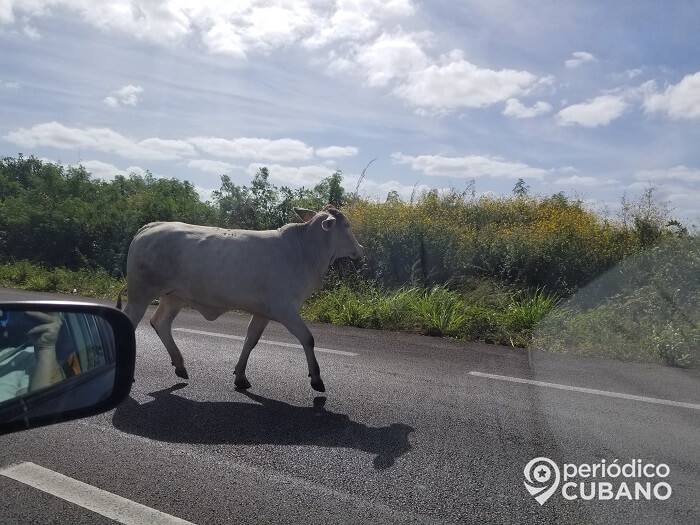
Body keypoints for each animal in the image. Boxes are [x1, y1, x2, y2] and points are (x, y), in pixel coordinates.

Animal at [115, 207, 364, 390]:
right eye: (347, 225)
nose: (361, 248)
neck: (305, 252)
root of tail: (151, 225)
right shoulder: (285, 309)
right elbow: (308, 338)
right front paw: (316, 379)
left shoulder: (263, 312)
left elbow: (250, 341)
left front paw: (241, 376)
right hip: (141, 292)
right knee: (132, 320)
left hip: (173, 296)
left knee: (160, 323)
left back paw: (180, 365)